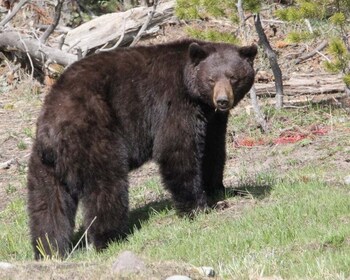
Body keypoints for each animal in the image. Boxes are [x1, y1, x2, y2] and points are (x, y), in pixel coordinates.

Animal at [27, 38, 258, 260]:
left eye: (233, 77)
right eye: (211, 79)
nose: (222, 100)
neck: (193, 92)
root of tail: (50, 131)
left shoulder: (212, 119)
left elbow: (213, 149)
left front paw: (218, 189)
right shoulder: (173, 104)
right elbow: (177, 150)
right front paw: (199, 207)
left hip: (44, 167)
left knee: (47, 206)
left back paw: (49, 249)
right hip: (94, 136)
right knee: (106, 187)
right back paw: (109, 238)